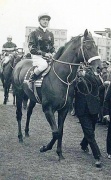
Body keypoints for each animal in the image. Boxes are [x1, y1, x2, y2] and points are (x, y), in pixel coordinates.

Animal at [11, 29, 101, 160]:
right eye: (88, 46)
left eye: (97, 47)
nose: (99, 67)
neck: (62, 78)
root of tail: (19, 63)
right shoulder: (48, 109)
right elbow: (55, 132)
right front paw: (44, 148)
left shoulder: (63, 109)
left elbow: (60, 131)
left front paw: (59, 153)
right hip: (18, 93)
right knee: (19, 114)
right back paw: (20, 137)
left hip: (32, 98)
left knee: (28, 113)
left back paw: (27, 132)